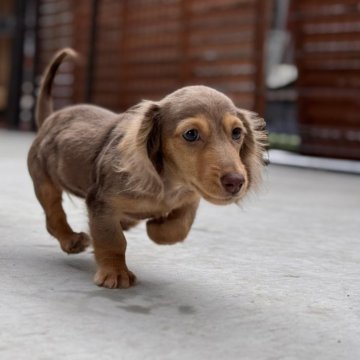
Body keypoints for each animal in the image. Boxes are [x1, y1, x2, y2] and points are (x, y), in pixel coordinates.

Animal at [28, 48, 268, 290]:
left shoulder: (190, 199)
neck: (171, 183)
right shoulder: (101, 202)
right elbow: (112, 239)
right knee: (53, 215)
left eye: (237, 133)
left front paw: (157, 227)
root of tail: (50, 118)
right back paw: (71, 239)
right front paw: (115, 272)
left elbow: (179, 227)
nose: (236, 182)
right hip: (44, 181)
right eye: (191, 134)